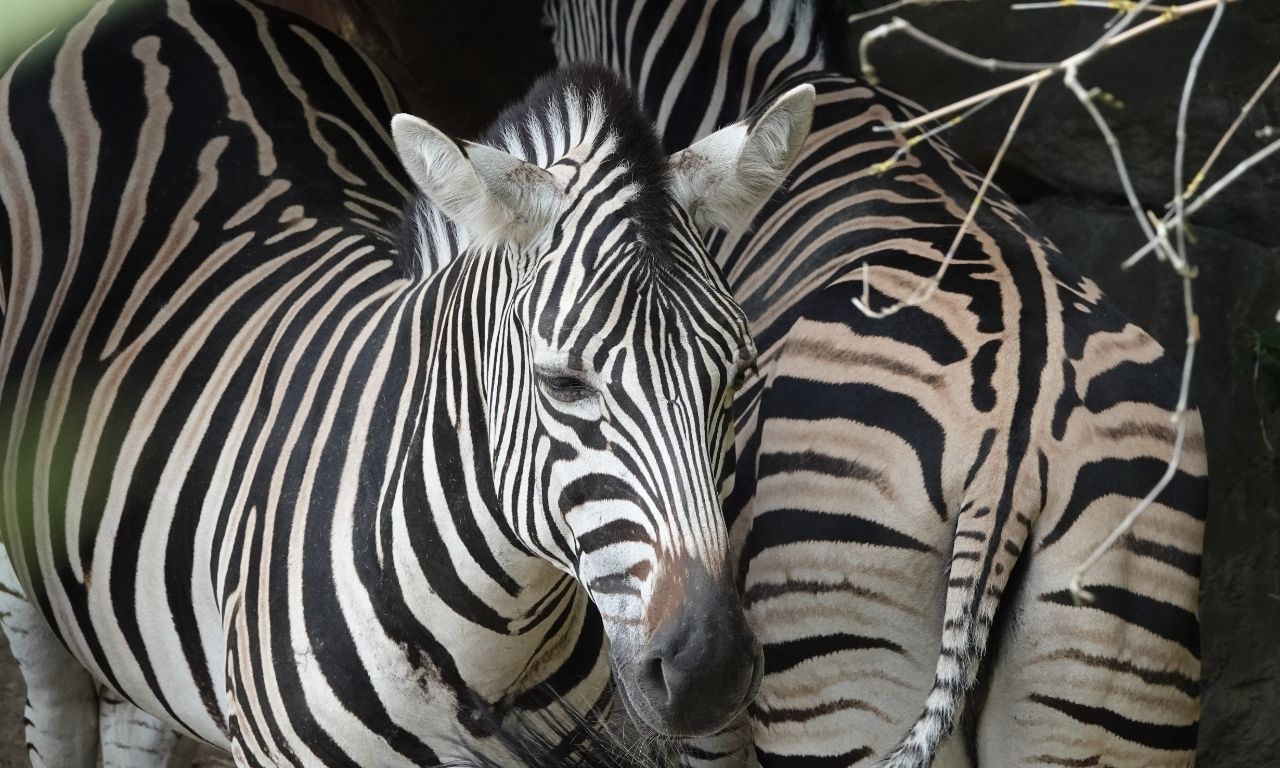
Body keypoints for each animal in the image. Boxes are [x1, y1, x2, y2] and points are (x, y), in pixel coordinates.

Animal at [0, 0, 818, 764]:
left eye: (736, 377)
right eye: (562, 385)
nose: (708, 672)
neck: (498, 636)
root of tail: (148, 13)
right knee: (57, 712)